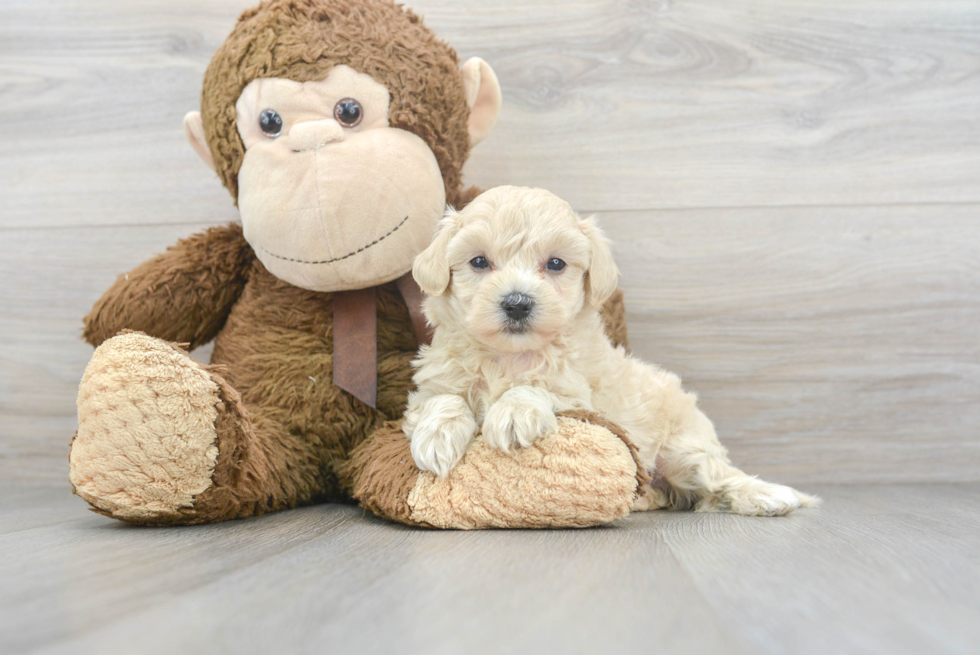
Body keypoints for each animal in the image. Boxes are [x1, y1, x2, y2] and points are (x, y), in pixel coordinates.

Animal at [402, 186, 816, 516]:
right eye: (478, 261)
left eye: (555, 263)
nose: (517, 303)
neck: (509, 356)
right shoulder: (432, 383)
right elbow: (443, 399)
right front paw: (437, 437)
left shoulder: (580, 397)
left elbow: (537, 387)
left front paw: (513, 413)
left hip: (685, 451)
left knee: (719, 479)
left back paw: (769, 496)